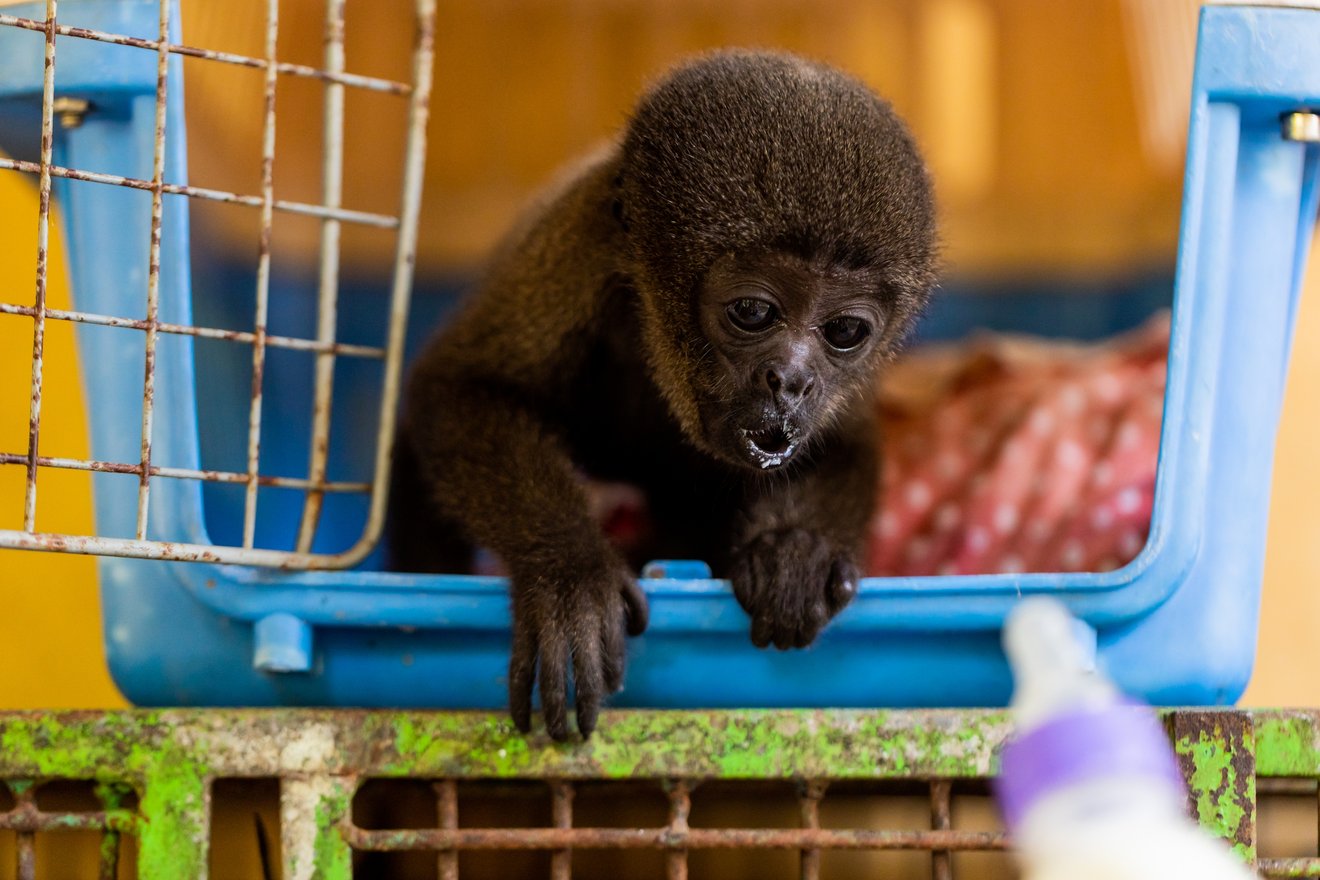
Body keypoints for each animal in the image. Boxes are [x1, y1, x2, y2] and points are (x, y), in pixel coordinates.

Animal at [390, 49, 939, 744]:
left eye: (844, 330)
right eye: (753, 312)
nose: (791, 380)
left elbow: (844, 443)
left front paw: (797, 550)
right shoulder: (577, 243)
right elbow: (463, 387)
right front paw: (571, 575)